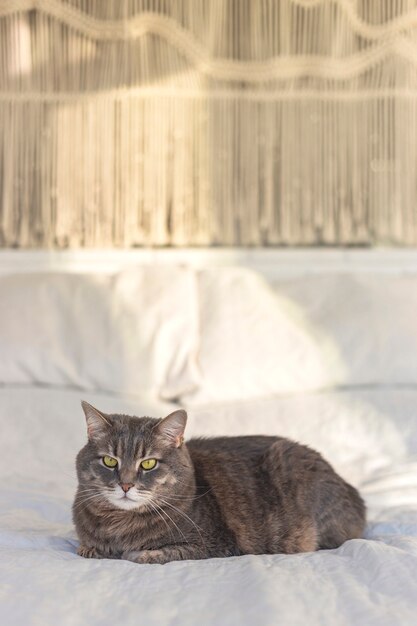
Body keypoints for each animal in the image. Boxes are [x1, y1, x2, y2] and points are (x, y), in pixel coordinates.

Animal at [74, 402, 364, 564]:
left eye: (148, 464)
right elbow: (86, 547)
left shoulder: (218, 545)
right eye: (109, 461)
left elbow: (163, 552)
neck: (118, 525)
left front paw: (136, 553)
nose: (125, 485)